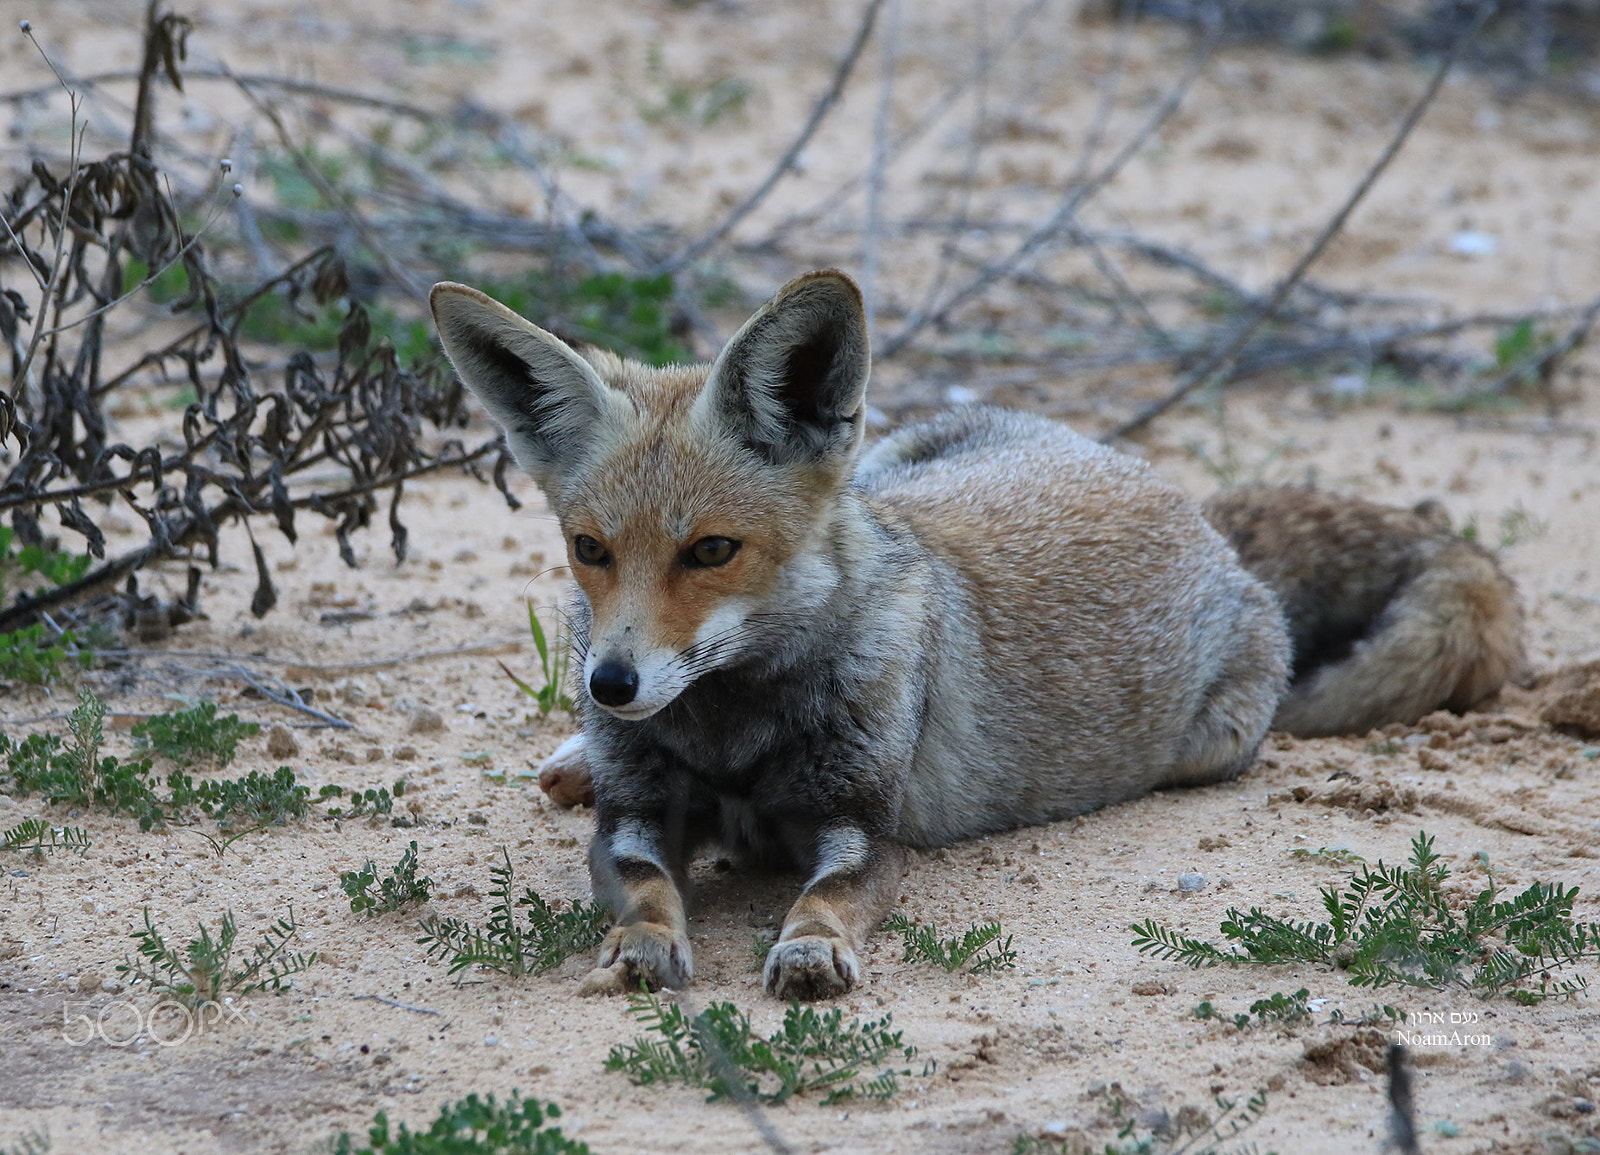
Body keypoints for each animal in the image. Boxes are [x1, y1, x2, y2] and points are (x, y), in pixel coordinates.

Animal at [429, 270, 1523, 1001]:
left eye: (711, 551)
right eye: (589, 549)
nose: (611, 685)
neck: (733, 733)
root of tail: (1176, 496)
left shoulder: (861, 828)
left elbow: (824, 900)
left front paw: (811, 948)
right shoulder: (638, 815)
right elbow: (649, 889)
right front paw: (642, 946)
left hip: (1212, 747)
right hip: (890, 465)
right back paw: (571, 756)